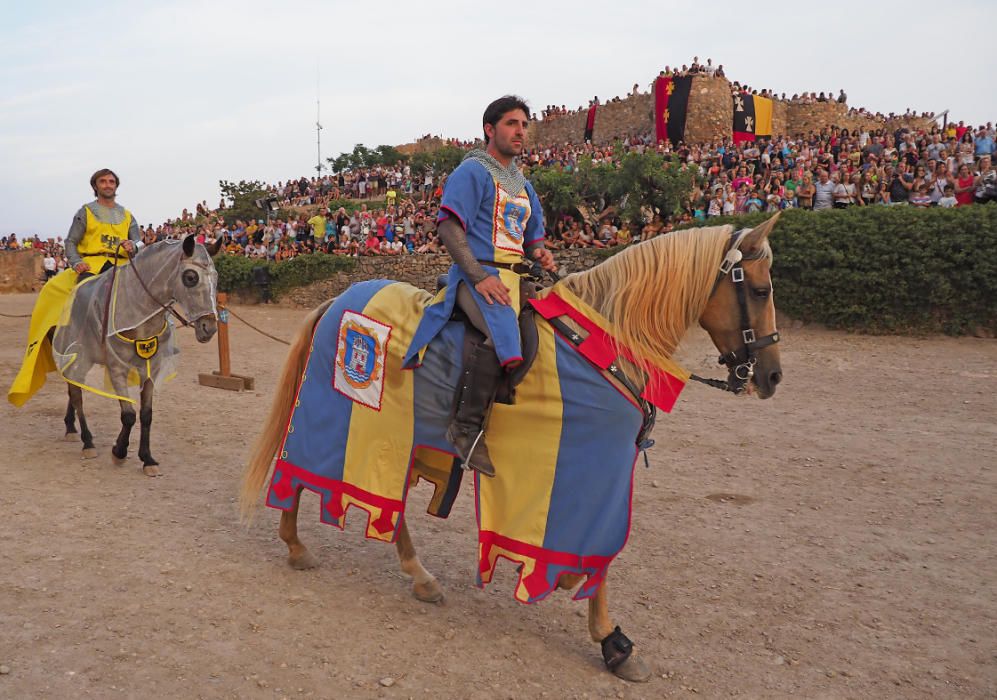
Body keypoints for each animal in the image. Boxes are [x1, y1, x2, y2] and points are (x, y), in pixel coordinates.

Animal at [52, 237, 220, 476]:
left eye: (216, 277)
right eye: (190, 277)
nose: (209, 328)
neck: (137, 313)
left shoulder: (151, 369)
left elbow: (146, 414)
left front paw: (147, 458)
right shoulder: (117, 369)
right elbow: (129, 415)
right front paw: (119, 452)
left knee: (73, 388)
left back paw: (71, 427)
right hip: (78, 357)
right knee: (76, 394)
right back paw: (87, 442)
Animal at [239, 217, 780, 680]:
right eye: (759, 290)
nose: (772, 377)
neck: (603, 345)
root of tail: (335, 302)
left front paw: (590, 613)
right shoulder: (587, 474)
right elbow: (600, 558)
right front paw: (613, 641)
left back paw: (418, 575)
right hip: (350, 423)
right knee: (298, 470)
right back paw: (296, 545)